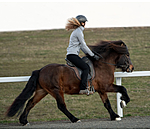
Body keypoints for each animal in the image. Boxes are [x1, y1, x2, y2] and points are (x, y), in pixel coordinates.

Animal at [5, 39, 134, 125]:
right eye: (127, 55)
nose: (131, 68)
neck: (103, 65)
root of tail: (41, 70)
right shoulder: (106, 86)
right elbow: (122, 89)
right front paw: (123, 102)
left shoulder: (101, 90)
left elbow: (107, 103)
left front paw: (114, 116)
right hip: (56, 90)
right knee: (61, 106)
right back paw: (74, 119)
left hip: (42, 91)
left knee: (31, 102)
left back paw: (24, 120)